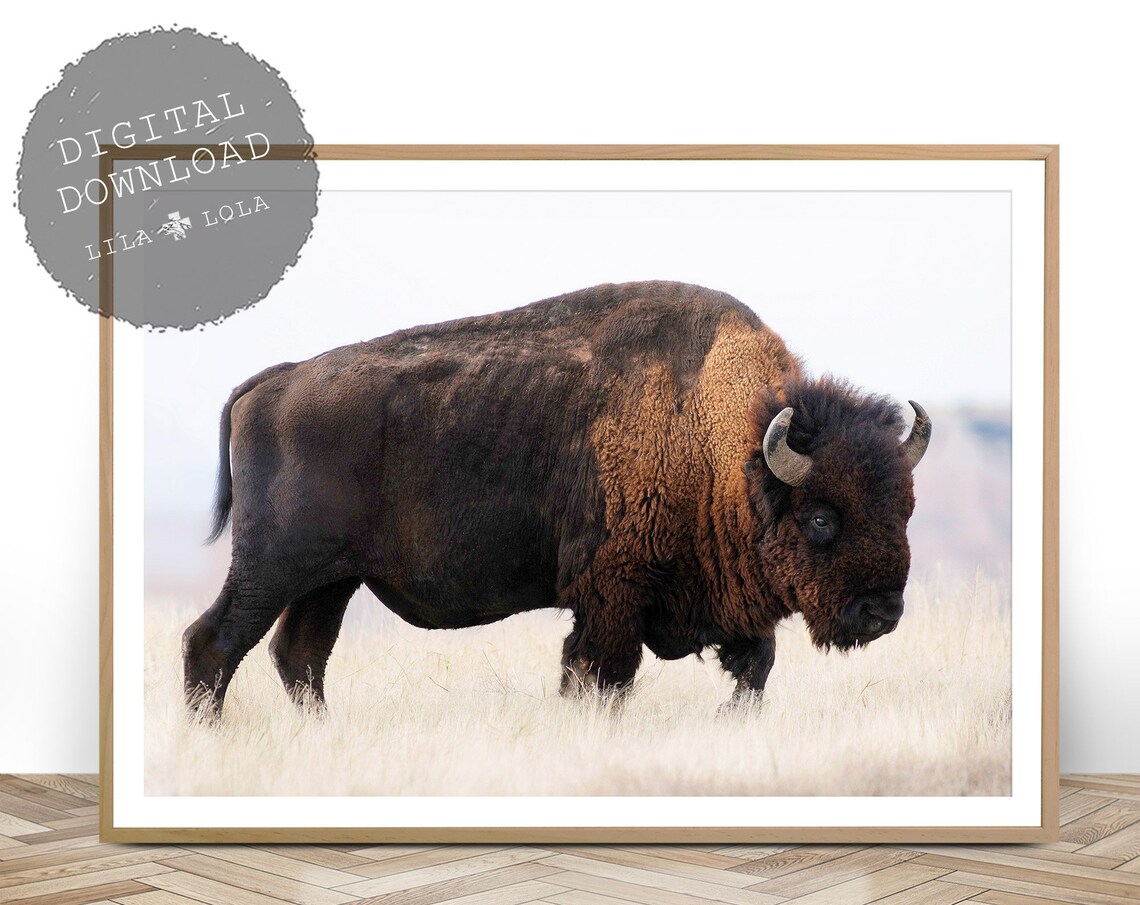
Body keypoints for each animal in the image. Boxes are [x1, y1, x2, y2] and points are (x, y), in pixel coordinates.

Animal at [183, 281, 930, 717]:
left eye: (905, 510)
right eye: (823, 517)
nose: (882, 611)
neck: (726, 443)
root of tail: (276, 382)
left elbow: (755, 670)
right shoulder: (612, 597)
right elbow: (602, 675)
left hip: (330, 580)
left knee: (300, 656)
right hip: (274, 566)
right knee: (214, 642)